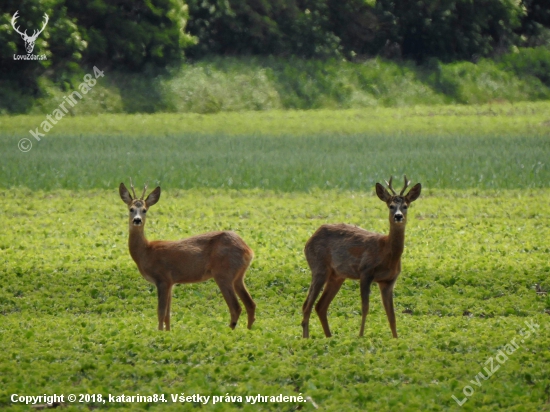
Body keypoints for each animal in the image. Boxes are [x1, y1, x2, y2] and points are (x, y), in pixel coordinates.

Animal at [118, 180, 256, 332]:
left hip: (223, 273)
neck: (146, 252)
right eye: (131, 209)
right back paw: (249, 330)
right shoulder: (171, 282)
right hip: (238, 276)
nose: (137, 220)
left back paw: (229, 330)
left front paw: (159, 332)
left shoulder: (162, 278)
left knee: (236, 307)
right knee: (251, 304)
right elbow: (168, 314)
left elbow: (161, 312)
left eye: (144, 210)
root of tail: (249, 250)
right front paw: (167, 332)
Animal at [302, 175, 422, 340]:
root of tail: (310, 239)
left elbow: (391, 315)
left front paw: (396, 339)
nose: (398, 216)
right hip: (319, 267)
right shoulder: (365, 272)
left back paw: (329, 337)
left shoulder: (389, 281)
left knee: (320, 306)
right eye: (390, 206)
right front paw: (360, 336)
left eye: (405, 206)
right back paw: (306, 339)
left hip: (337, 275)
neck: (386, 252)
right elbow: (365, 308)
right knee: (307, 305)